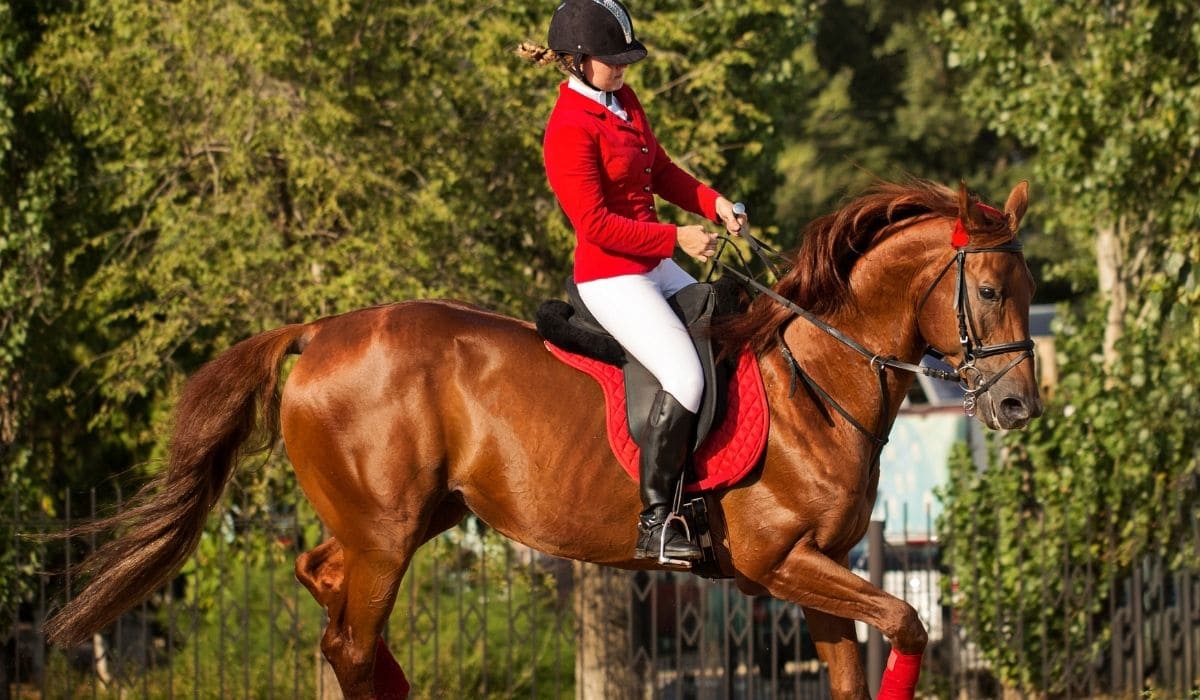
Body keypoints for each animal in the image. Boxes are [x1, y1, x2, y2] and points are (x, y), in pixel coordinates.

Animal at [44, 179, 1041, 699]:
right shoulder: (779, 562)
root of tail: (320, 330)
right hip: (387, 535)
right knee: (349, 639)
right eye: (991, 292)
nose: (1019, 407)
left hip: (410, 520)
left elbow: (860, 658)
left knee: (322, 588)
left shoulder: (820, 570)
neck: (817, 378)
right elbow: (909, 618)